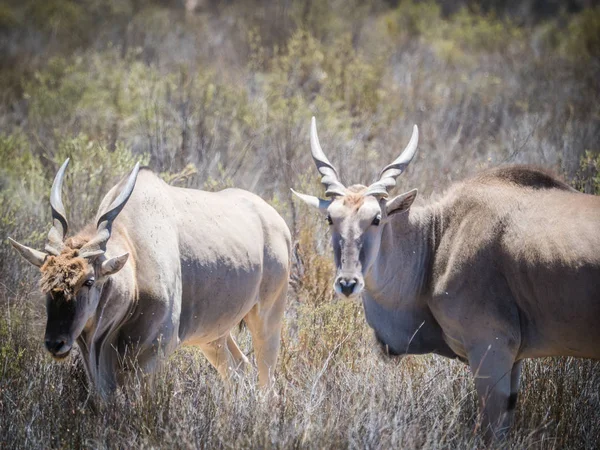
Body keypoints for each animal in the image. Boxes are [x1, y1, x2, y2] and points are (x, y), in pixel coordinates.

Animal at [9, 161, 290, 398]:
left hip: (267, 319)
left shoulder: (151, 357)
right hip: (214, 337)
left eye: (88, 281)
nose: (55, 343)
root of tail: (278, 221)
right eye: (45, 284)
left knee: (266, 381)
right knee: (239, 370)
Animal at [292, 116, 600, 440]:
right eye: (330, 218)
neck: (440, 235)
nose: (347, 283)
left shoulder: (491, 349)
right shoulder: (513, 359)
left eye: (376, 219)